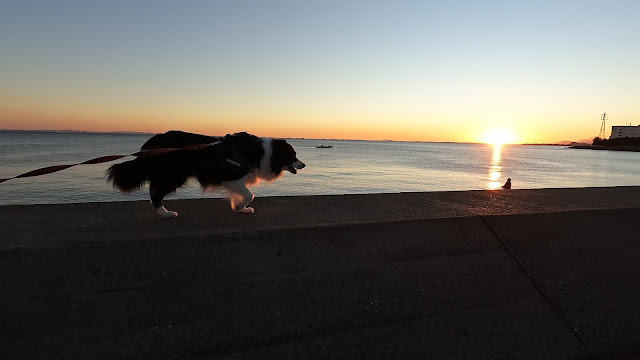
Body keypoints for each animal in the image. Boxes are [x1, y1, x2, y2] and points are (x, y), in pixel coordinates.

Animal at [107, 131, 304, 217]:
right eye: (293, 155)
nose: (303, 164)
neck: (263, 153)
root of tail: (149, 144)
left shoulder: (236, 179)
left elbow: (240, 195)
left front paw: (239, 208)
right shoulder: (232, 176)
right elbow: (250, 195)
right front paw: (240, 207)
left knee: (154, 190)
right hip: (173, 175)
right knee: (156, 193)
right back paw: (165, 213)